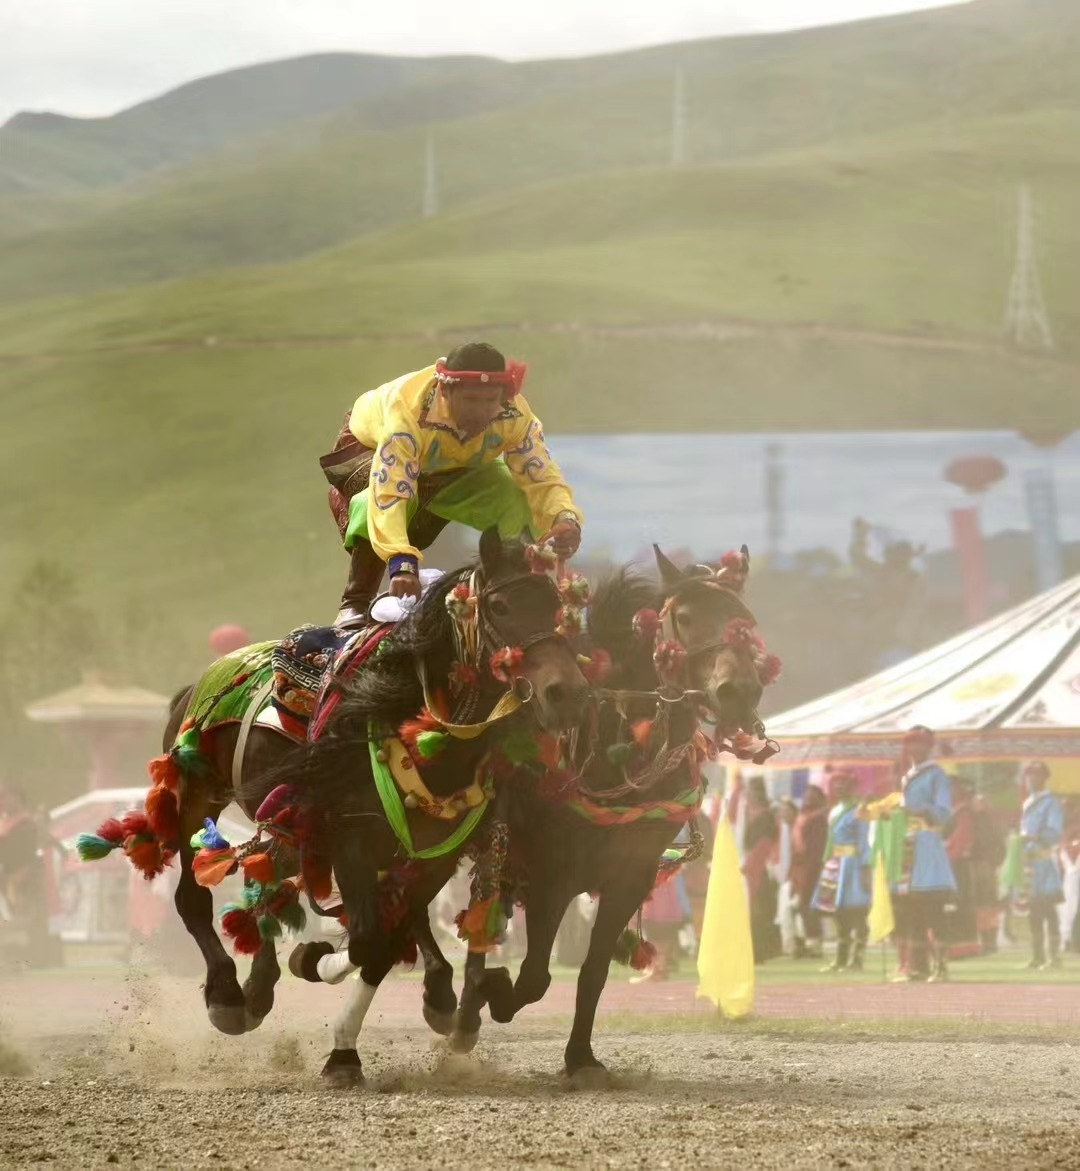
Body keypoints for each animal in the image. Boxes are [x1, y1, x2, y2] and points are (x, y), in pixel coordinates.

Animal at [166, 531, 590, 1035]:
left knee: (268, 878)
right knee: (191, 897)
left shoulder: (436, 852)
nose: (566, 694)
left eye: (555, 606)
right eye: (501, 606)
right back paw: (228, 994)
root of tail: (197, 685)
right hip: (200, 793)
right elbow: (370, 938)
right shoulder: (351, 835)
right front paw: (317, 962)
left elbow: (392, 929)